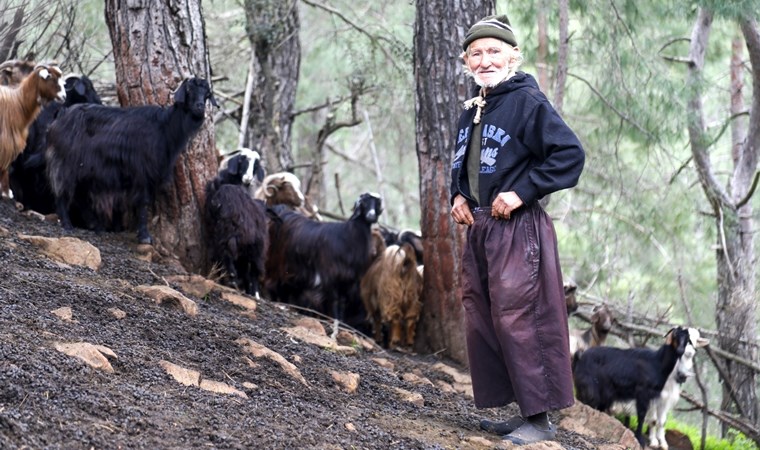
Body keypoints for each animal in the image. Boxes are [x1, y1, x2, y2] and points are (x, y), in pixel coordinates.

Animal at [0, 63, 64, 197]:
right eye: (51, 78)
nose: (64, 96)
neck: (17, 102)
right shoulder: (6, 141)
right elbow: (5, 167)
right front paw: (6, 193)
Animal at [46, 77, 217, 243]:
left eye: (207, 93)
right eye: (188, 90)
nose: (200, 107)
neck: (164, 126)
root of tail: (61, 115)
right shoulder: (141, 171)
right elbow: (144, 202)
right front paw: (145, 236)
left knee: (79, 193)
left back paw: (95, 225)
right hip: (65, 161)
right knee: (62, 190)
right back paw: (67, 224)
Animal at [205, 155, 270, 298]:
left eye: (256, 166)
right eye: (242, 161)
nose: (248, 178)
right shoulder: (256, 247)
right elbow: (252, 272)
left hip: (225, 232)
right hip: (237, 235)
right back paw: (236, 280)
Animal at [268, 192, 386, 326]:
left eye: (377, 203)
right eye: (364, 203)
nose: (371, 216)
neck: (348, 235)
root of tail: (283, 212)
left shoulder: (346, 281)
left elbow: (342, 303)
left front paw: (340, 322)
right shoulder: (331, 275)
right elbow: (334, 300)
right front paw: (334, 321)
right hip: (276, 262)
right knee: (273, 285)